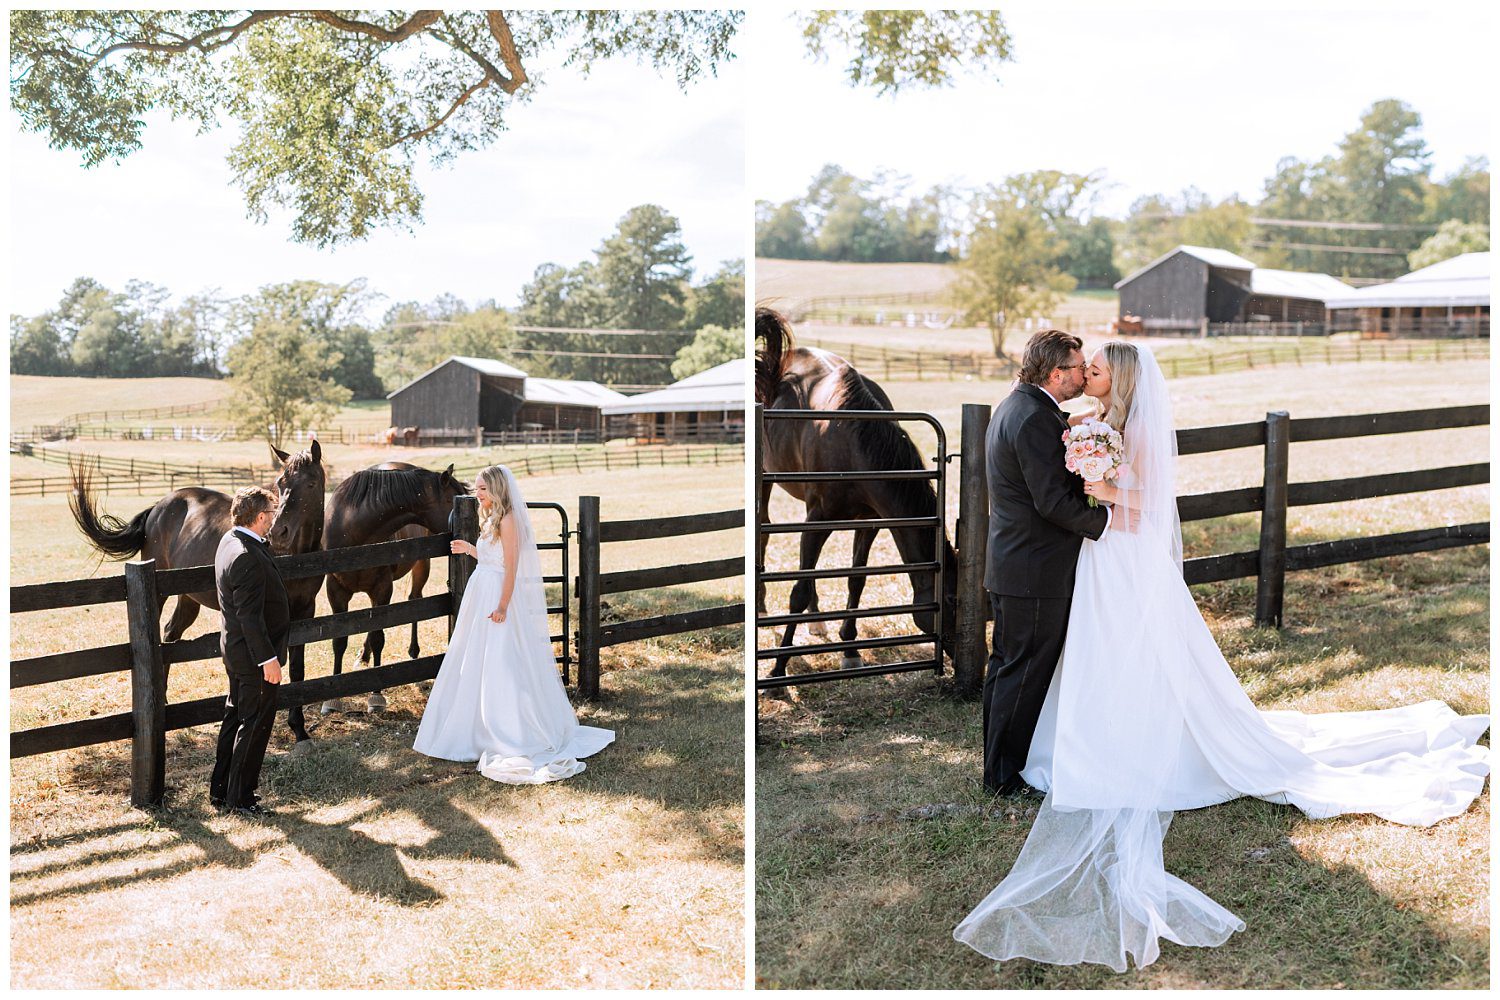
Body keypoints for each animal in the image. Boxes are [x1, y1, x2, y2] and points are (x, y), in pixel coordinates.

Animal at [69, 440, 328, 746]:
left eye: (311, 483)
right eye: (280, 482)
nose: (278, 532)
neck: (297, 555)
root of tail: (160, 506)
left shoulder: (305, 609)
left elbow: (298, 670)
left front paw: (299, 730)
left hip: (188, 598)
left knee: (171, 633)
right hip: (160, 593)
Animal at [322, 464, 468, 716]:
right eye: (453, 499)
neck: (354, 531)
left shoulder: (382, 589)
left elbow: (379, 637)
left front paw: (376, 696)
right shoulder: (336, 591)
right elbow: (339, 640)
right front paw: (333, 699)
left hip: (421, 564)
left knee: (414, 600)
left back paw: (412, 652)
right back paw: (363, 657)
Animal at [756, 307, 954, 680]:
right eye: (951, 602)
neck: (852, 438)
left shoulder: (869, 522)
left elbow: (855, 582)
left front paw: (849, 649)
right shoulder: (817, 519)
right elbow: (798, 590)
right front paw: (778, 669)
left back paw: (817, 622)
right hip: (766, 481)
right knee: (764, 528)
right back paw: (760, 606)